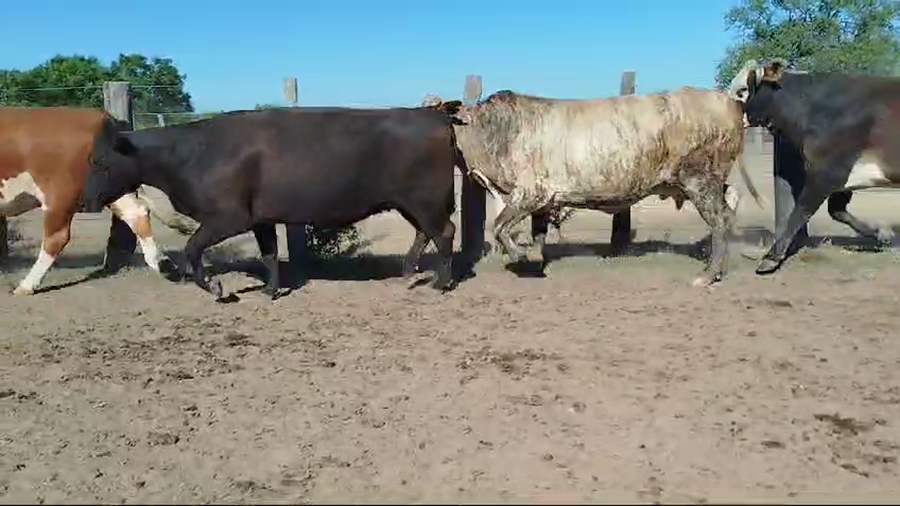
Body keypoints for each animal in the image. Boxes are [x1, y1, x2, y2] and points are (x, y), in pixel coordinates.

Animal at [0, 107, 176, 295]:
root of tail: (101, 117)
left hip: (60, 194)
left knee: (56, 238)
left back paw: (26, 286)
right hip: (112, 187)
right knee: (136, 213)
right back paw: (161, 262)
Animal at [79, 103, 466, 302]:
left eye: (100, 162)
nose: (83, 199)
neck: (189, 152)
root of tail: (430, 113)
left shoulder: (228, 216)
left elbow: (192, 248)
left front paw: (217, 289)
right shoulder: (259, 217)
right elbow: (268, 252)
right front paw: (271, 289)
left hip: (425, 199)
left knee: (444, 231)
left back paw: (440, 282)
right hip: (409, 202)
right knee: (425, 233)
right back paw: (409, 272)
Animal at [447, 88, 762, 287]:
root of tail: (729, 100)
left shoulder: (530, 191)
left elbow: (499, 226)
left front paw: (519, 256)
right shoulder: (544, 199)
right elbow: (538, 233)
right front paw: (535, 258)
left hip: (698, 179)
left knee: (721, 219)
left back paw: (707, 276)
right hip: (709, 181)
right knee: (730, 203)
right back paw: (717, 270)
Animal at [727, 58, 900, 275]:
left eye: (742, 90)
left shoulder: (827, 173)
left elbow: (799, 213)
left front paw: (771, 258)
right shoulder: (841, 178)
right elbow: (837, 211)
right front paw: (881, 234)